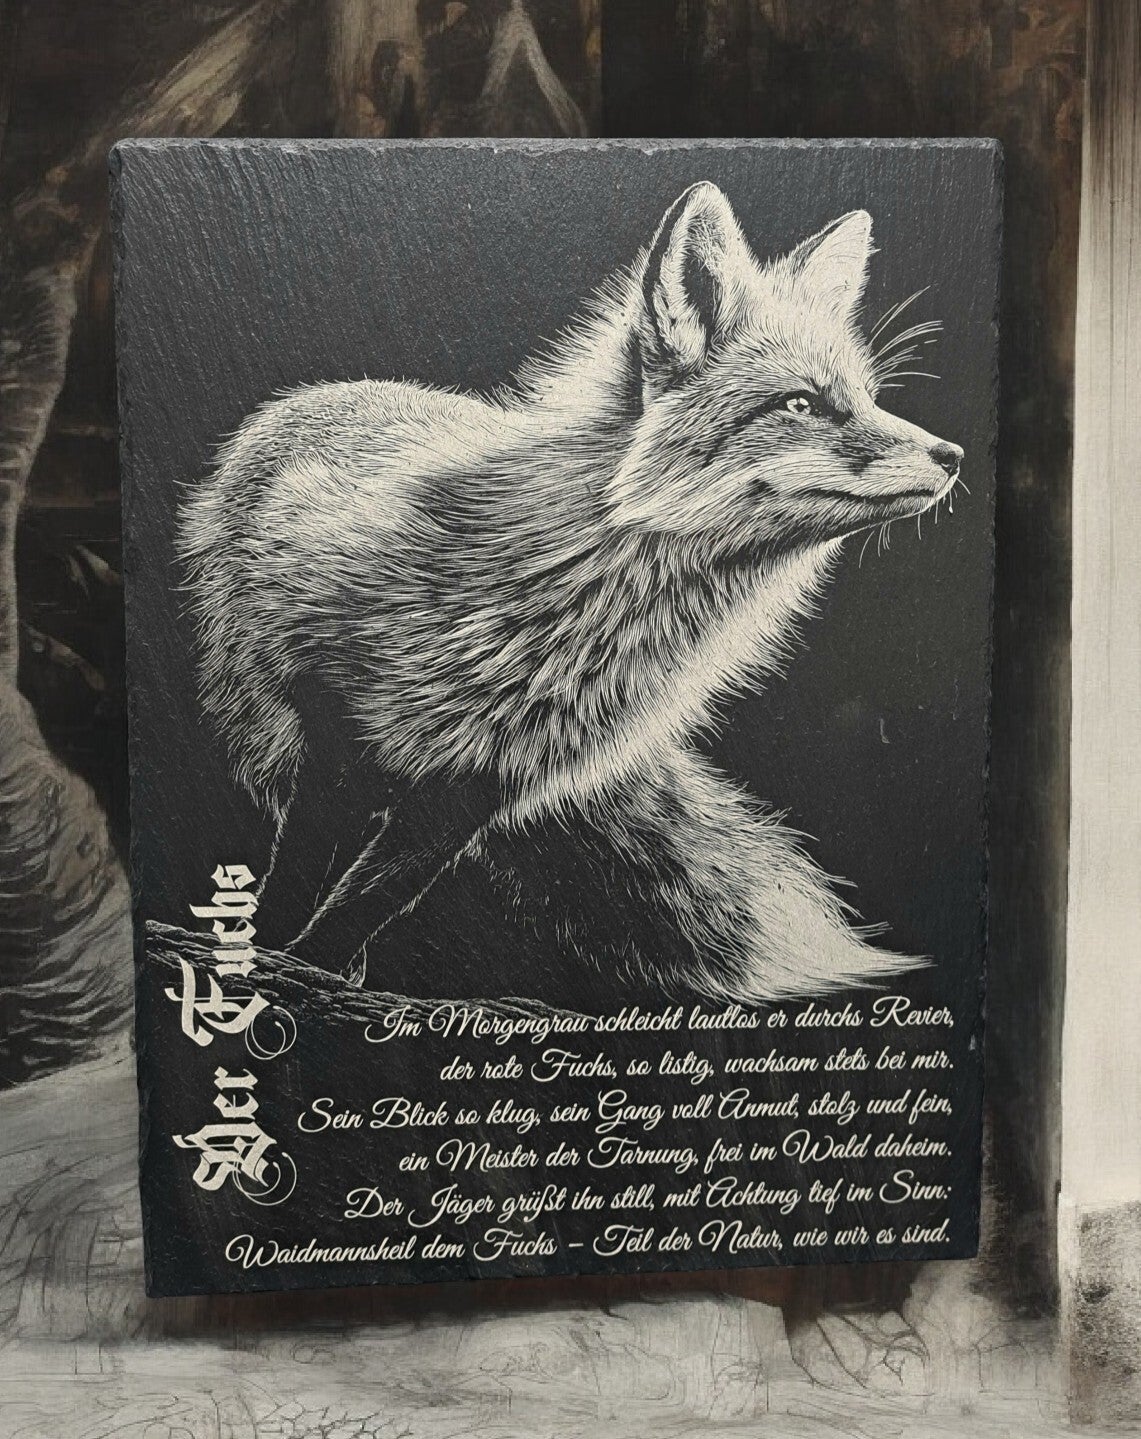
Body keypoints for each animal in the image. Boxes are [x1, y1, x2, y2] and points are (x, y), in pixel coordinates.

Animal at [178, 181, 964, 1005]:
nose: (952, 456)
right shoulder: (326, 725)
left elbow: (371, 899)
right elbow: (303, 873)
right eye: (802, 405)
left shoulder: (473, 790)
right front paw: (271, 964)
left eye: (869, 400)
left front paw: (322, 968)